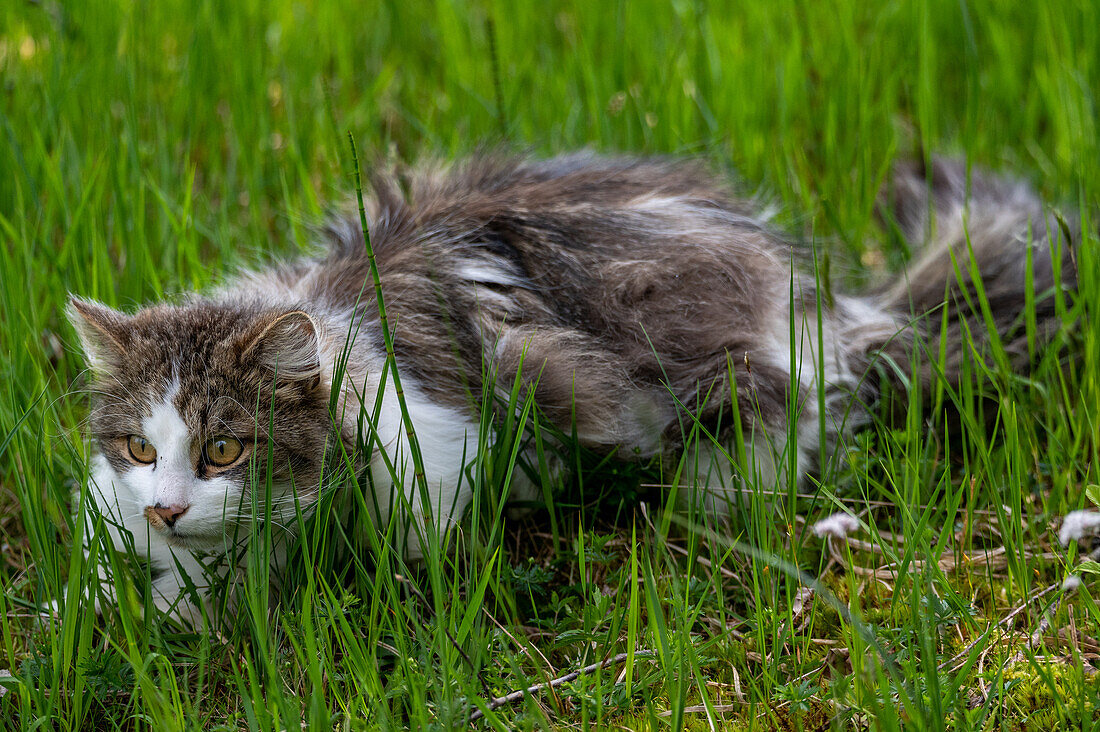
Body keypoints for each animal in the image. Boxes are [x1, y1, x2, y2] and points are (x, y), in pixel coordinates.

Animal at [66, 150, 1073, 620]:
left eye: (225, 448)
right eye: (139, 447)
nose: (166, 508)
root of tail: (819, 304)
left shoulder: (434, 444)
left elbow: (421, 548)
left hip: (708, 385)